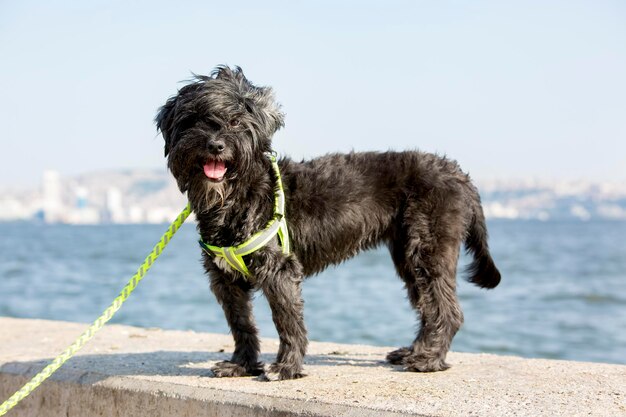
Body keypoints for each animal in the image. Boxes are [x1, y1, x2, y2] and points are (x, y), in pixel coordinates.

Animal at [155, 65, 498, 380]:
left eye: (236, 121)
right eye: (194, 120)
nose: (216, 145)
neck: (238, 195)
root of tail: (460, 175)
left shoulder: (279, 269)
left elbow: (287, 320)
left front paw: (286, 367)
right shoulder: (224, 279)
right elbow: (240, 324)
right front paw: (241, 365)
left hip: (428, 248)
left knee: (447, 309)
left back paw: (428, 360)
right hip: (407, 255)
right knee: (428, 305)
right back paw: (414, 351)